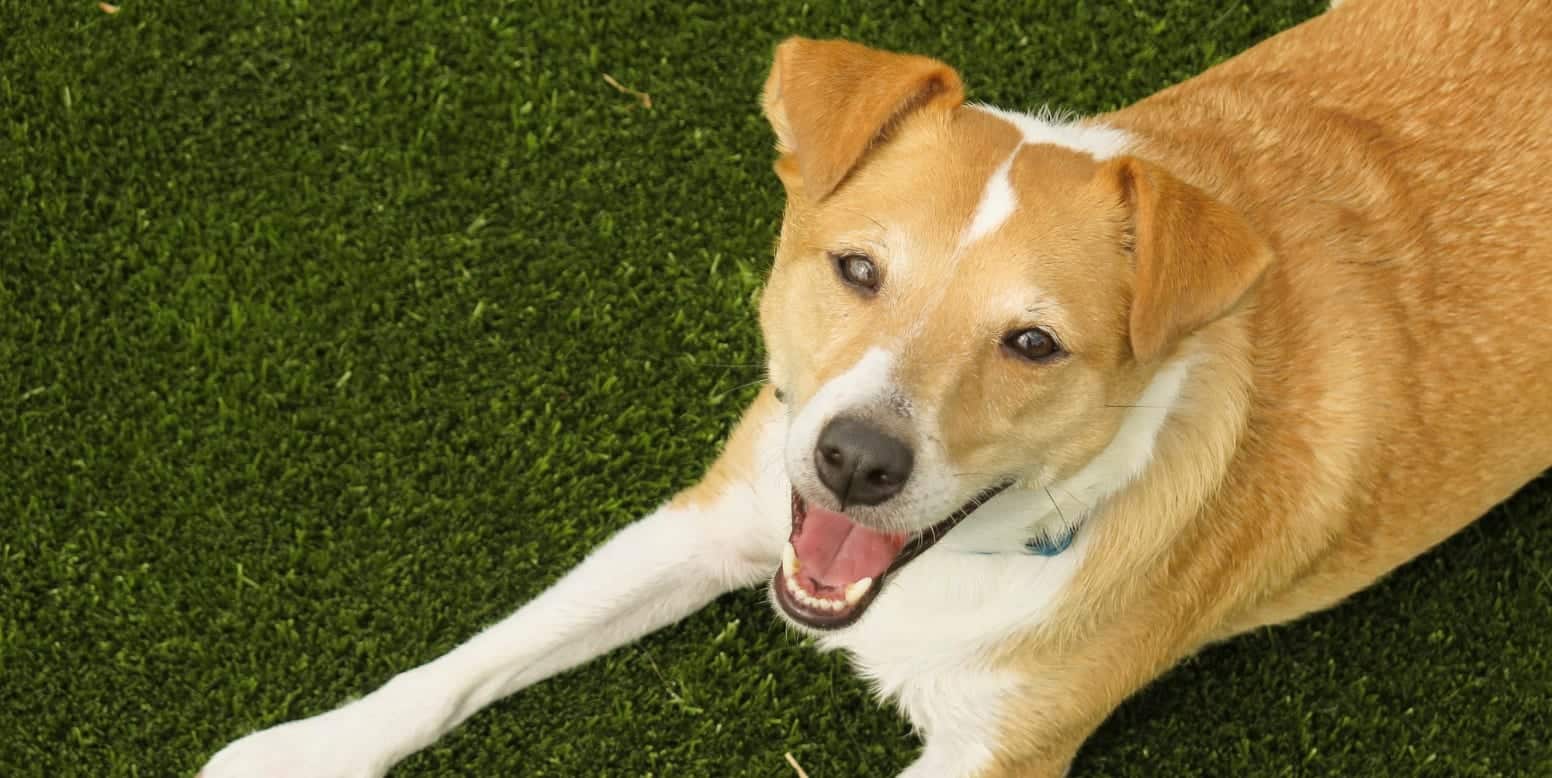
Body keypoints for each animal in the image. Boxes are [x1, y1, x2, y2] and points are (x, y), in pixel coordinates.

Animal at [200, 3, 1552, 773]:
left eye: (1031, 343)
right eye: (857, 269)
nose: (854, 461)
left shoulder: (995, 754)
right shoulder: (717, 516)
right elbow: (473, 657)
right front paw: (304, 749)